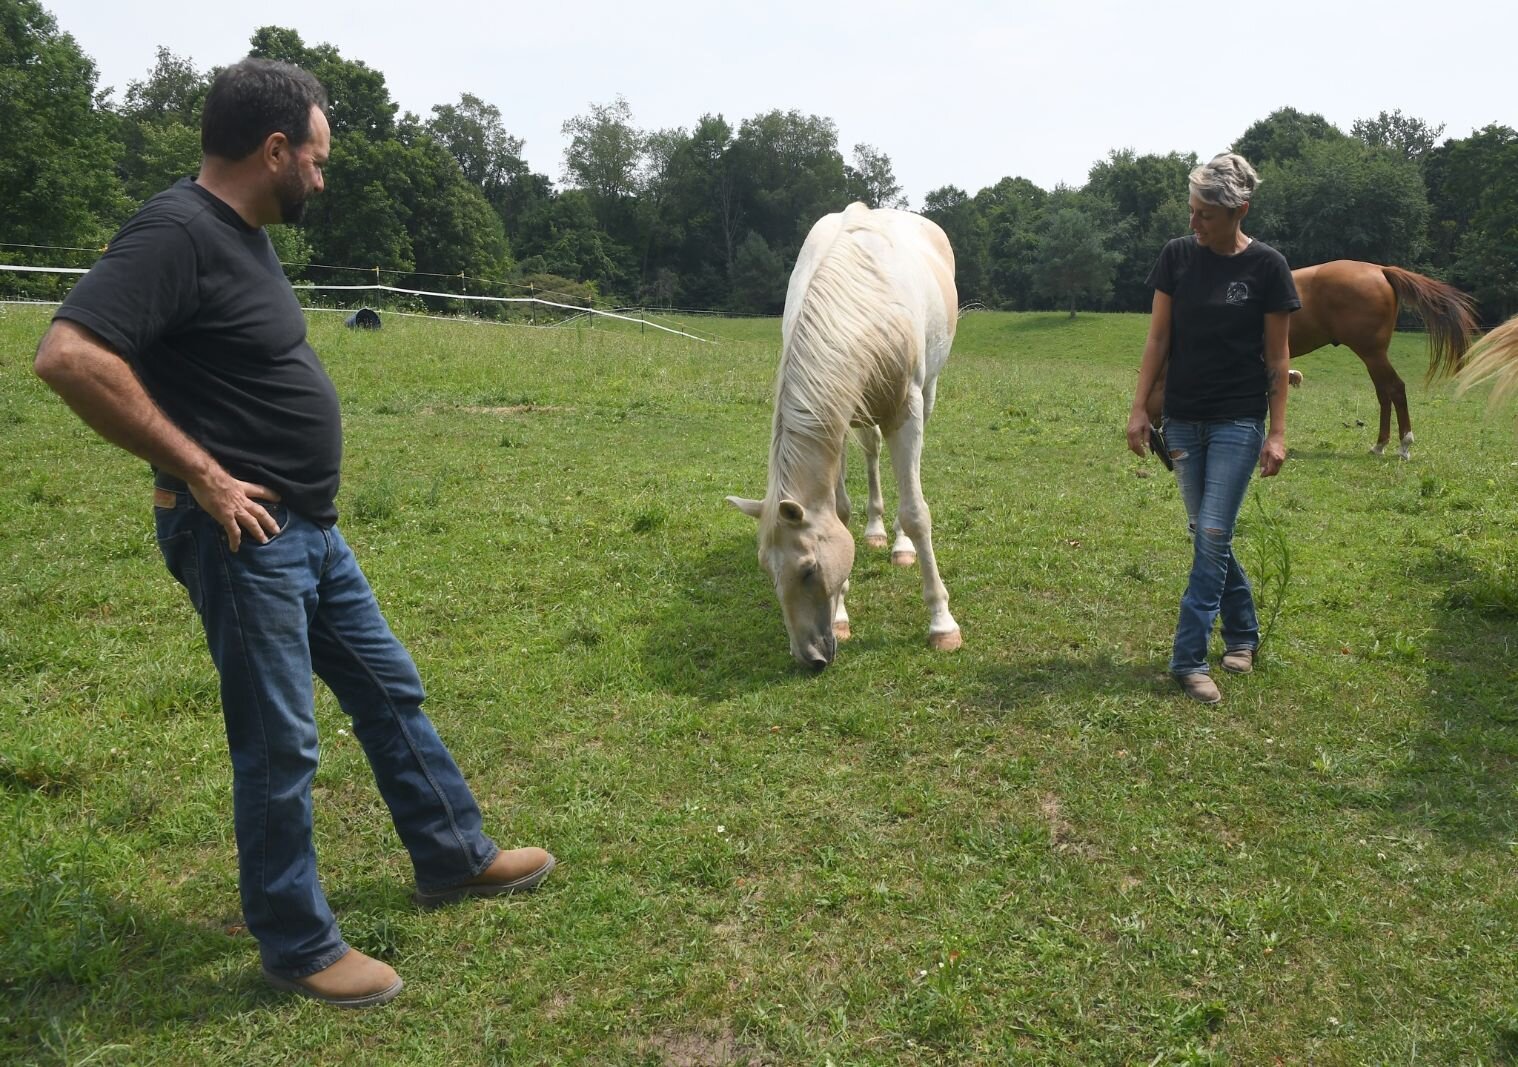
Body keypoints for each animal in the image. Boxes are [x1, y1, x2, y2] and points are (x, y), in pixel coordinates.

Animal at [725, 201, 959, 667]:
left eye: (809, 570)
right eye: (767, 572)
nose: (810, 657)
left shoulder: (906, 409)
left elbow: (916, 512)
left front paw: (942, 624)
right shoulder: (836, 412)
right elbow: (841, 512)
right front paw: (842, 616)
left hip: (925, 397)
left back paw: (900, 546)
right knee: (872, 454)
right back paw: (877, 531)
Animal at [1147, 262, 1469, 458]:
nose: (1154, 442)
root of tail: (1379, 269)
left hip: (1372, 354)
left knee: (1396, 389)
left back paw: (1404, 445)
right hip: (1373, 356)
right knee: (1384, 394)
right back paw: (1380, 445)